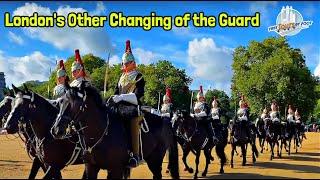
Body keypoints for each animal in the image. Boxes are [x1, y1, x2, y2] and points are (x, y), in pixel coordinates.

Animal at [51, 82, 179, 179]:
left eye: (75, 103)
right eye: (60, 101)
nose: (56, 130)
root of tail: (165, 119)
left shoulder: (115, 168)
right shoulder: (91, 167)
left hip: (155, 159)